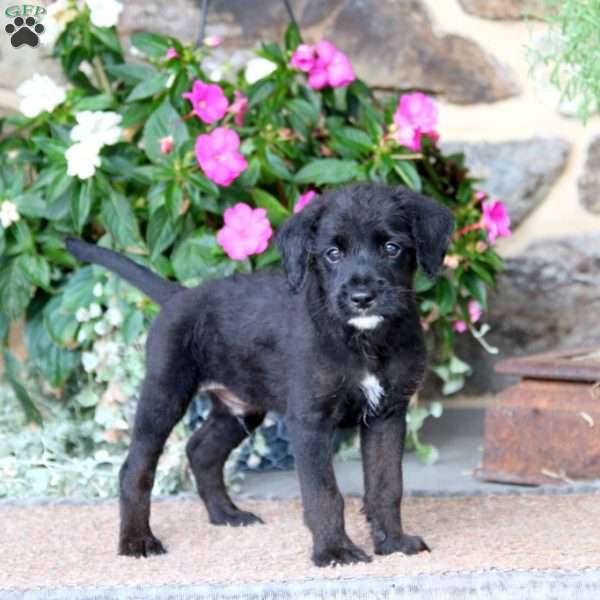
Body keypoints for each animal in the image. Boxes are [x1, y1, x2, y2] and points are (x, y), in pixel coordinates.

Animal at [65, 180, 452, 564]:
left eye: (391, 247)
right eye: (332, 253)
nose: (362, 298)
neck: (362, 339)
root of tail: (177, 295)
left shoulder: (387, 414)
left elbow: (387, 485)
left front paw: (393, 544)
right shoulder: (309, 421)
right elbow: (324, 493)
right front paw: (334, 550)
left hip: (240, 406)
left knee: (201, 451)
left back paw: (226, 515)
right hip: (164, 395)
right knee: (136, 468)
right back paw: (137, 541)